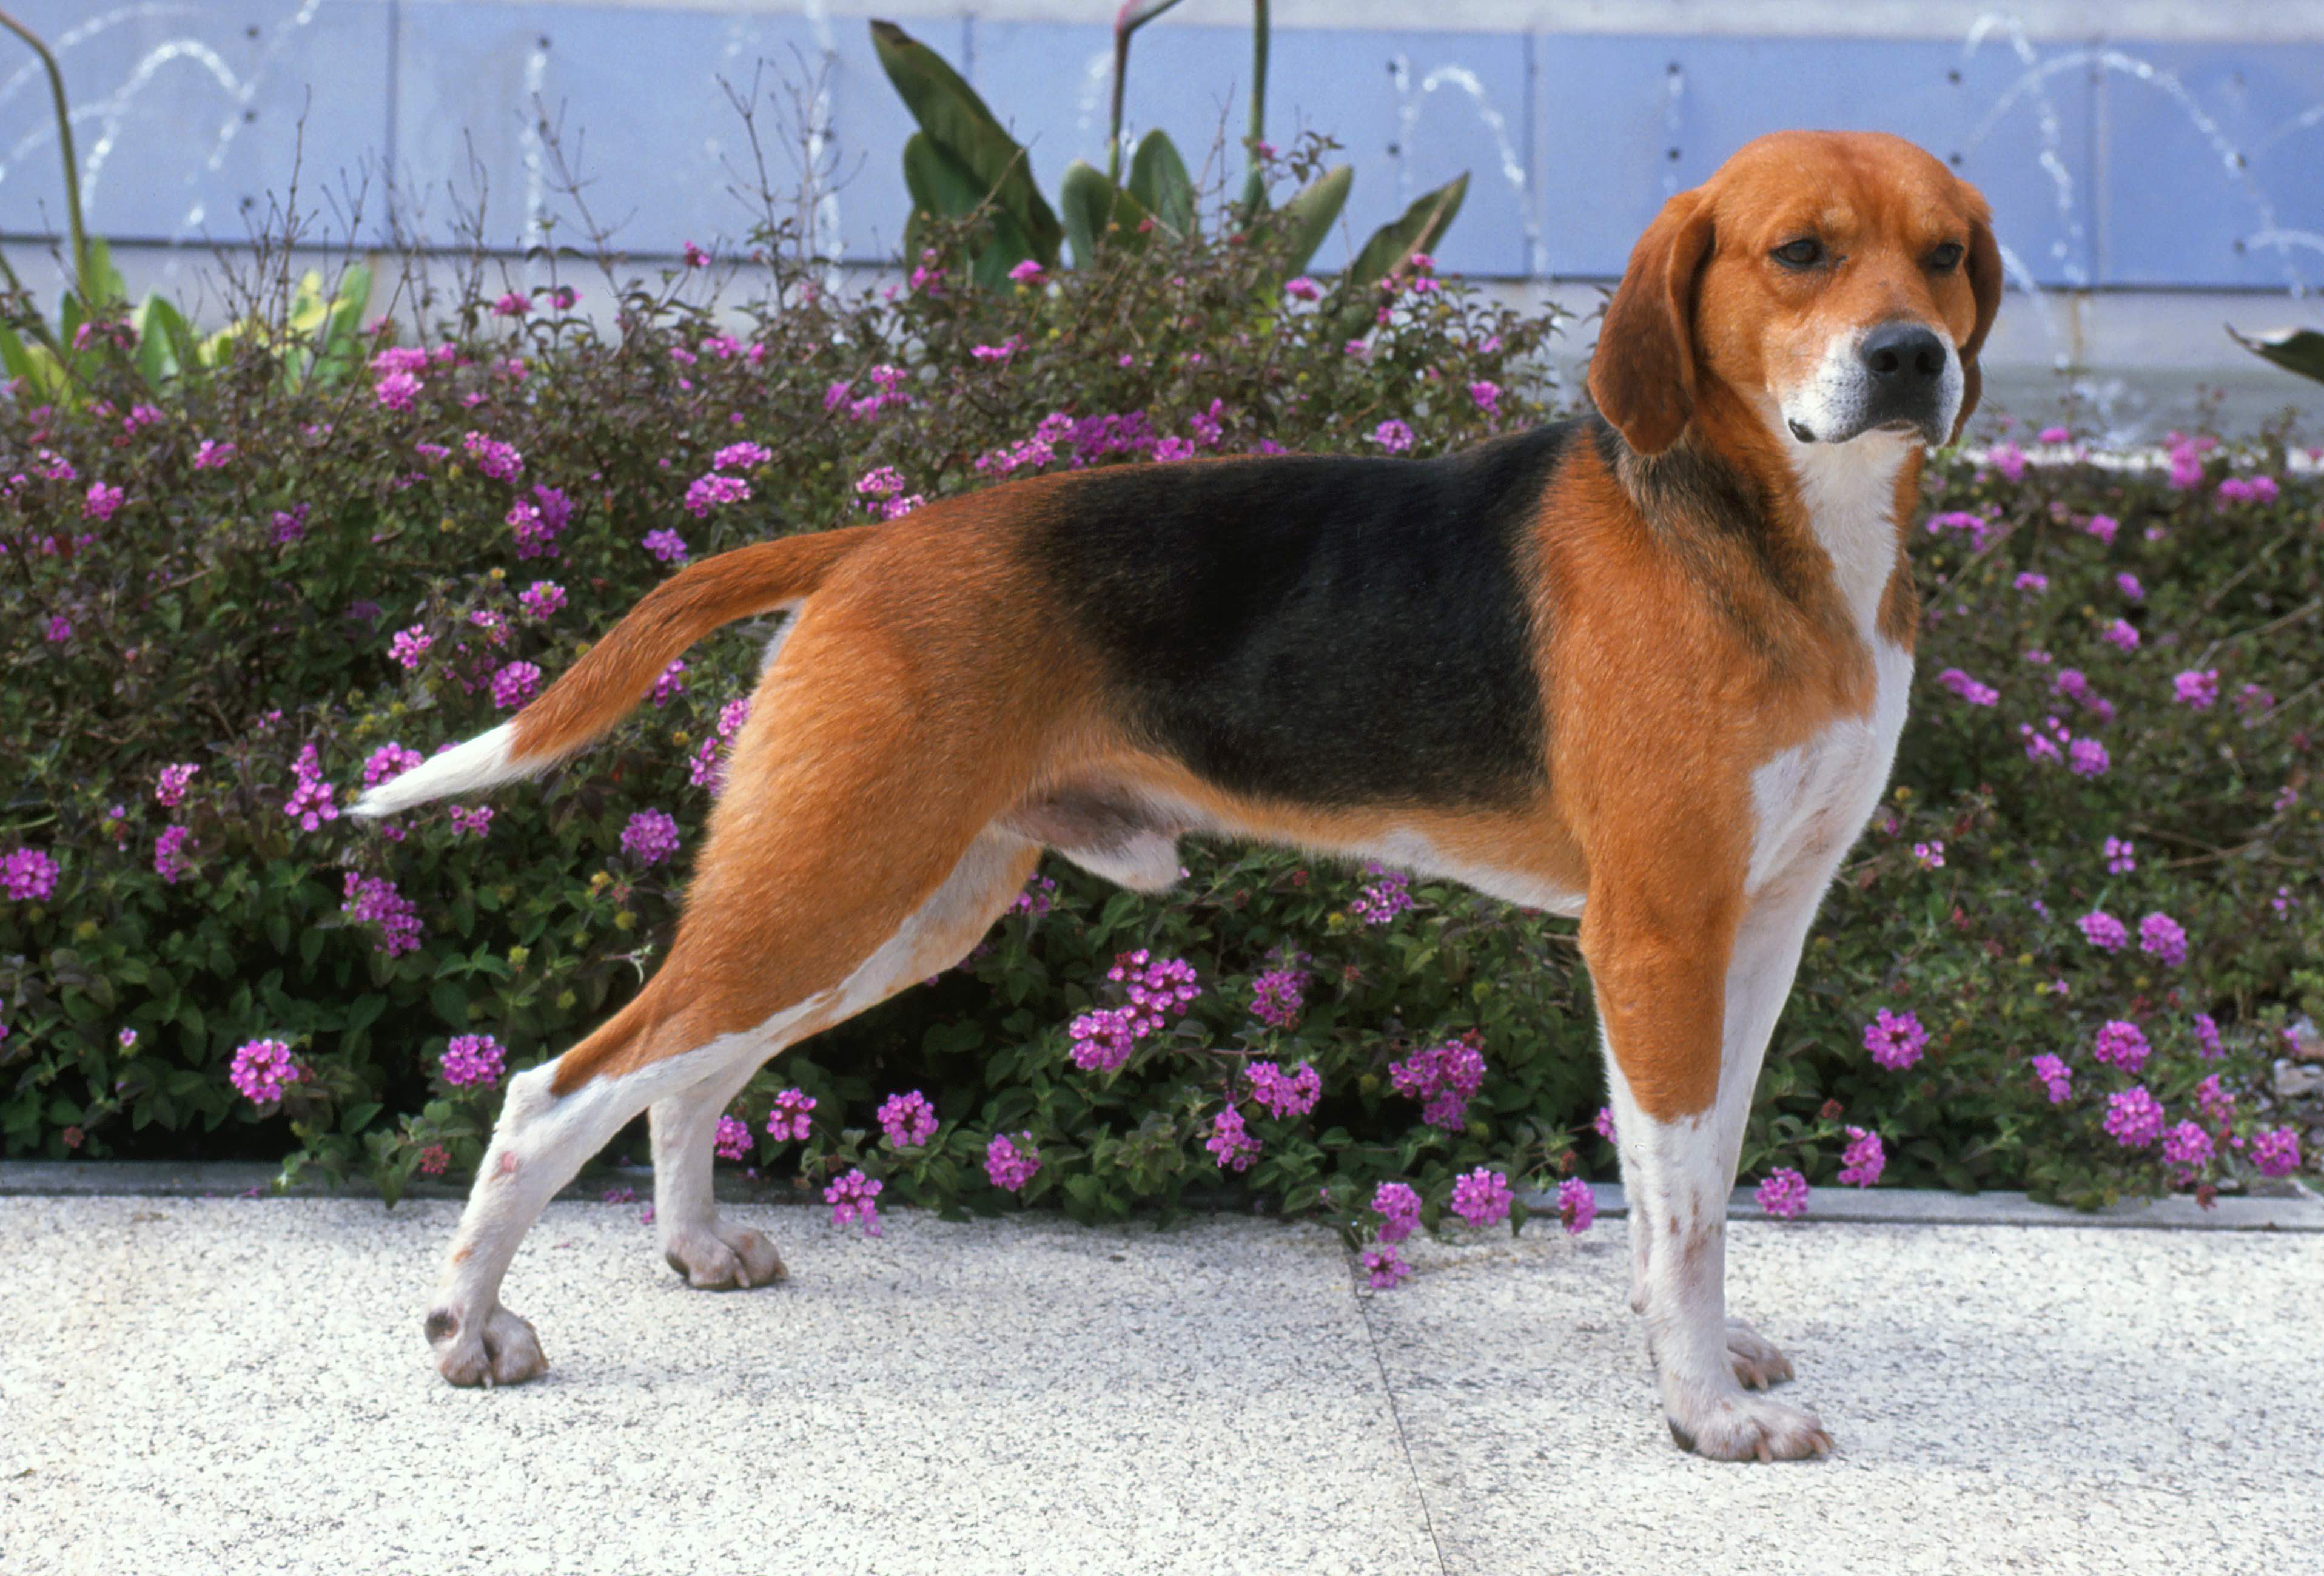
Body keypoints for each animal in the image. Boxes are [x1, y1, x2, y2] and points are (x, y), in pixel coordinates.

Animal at [358, 129, 1998, 1460]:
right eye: (1798, 253)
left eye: (1944, 253)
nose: (1910, 357)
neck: (1777, 540)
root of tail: (868, 544)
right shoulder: (1656, 936)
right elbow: (1680, 1209)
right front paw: (1702, 1412)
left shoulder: (1759, 934)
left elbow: (1704, 1178)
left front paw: (1705, 1359)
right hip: (834, 884)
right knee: (556, 1087)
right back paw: (466, 1330)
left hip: (895, 911)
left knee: (689, 1073)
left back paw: (696, 1249)